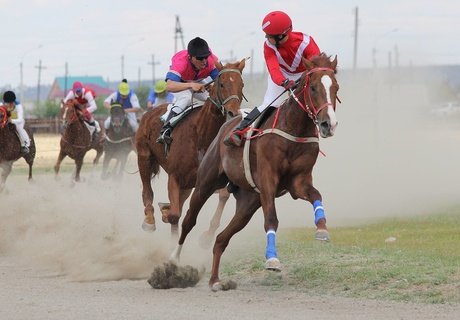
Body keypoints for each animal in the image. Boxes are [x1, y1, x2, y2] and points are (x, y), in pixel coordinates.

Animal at [135, 60, 246, 234]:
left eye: (242, 84)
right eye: (221, 84)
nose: (233, 113)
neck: (200, 136)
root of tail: (148, 113)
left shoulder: (200, 180)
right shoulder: (174, 176)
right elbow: (174, 214)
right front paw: (165, 213)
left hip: (187, 184)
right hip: (144, 157)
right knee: (147, 190)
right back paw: (149, 219)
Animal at [171, 53, 340, 292]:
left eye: (335, 87)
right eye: (314, 87)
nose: (328, 124)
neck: (293, 129)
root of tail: (225, 126)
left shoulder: (299, 182)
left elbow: (316, 195)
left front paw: (322, 229)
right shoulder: (268, 179)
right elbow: (271, 219)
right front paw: (272, 259)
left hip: (248, 202)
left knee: (221, 238)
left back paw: (215, 280)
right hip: (205, 183)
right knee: (188, 221)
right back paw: (173, 261)